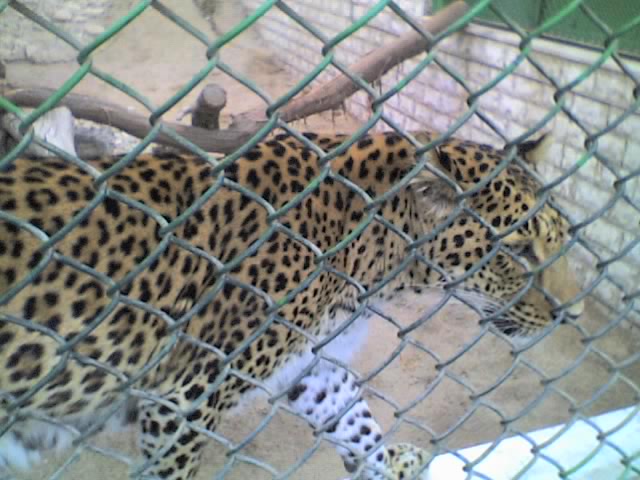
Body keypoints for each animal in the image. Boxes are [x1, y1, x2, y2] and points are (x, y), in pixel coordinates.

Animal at [0, 128, 584, 480]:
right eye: (516, 249)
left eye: (560, 238)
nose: (571, 315)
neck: (374, 263)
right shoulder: (183, 399)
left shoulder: (311, 363)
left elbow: (356, 421)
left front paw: (388, 462)